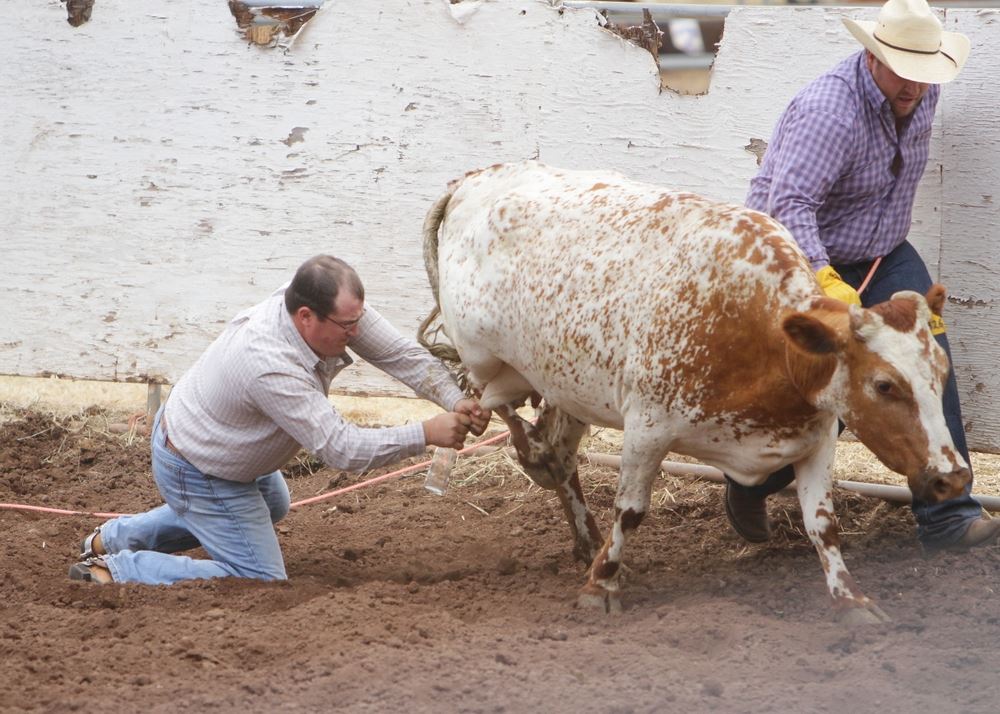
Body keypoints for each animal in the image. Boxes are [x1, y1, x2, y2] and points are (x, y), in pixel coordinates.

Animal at [419, 161, 970, 624]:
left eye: (941, 373)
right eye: (884, 384)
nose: (953, 477)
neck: (766, 336)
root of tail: (474, 178)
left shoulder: (816, 440)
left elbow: (823, 523)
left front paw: (851, 600)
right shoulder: (647, 427)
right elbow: (630, 511)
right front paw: (601, 586)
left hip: (567, 382)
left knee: (558, 450)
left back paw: (583, 534)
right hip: (487, 362)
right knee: (492, 413)